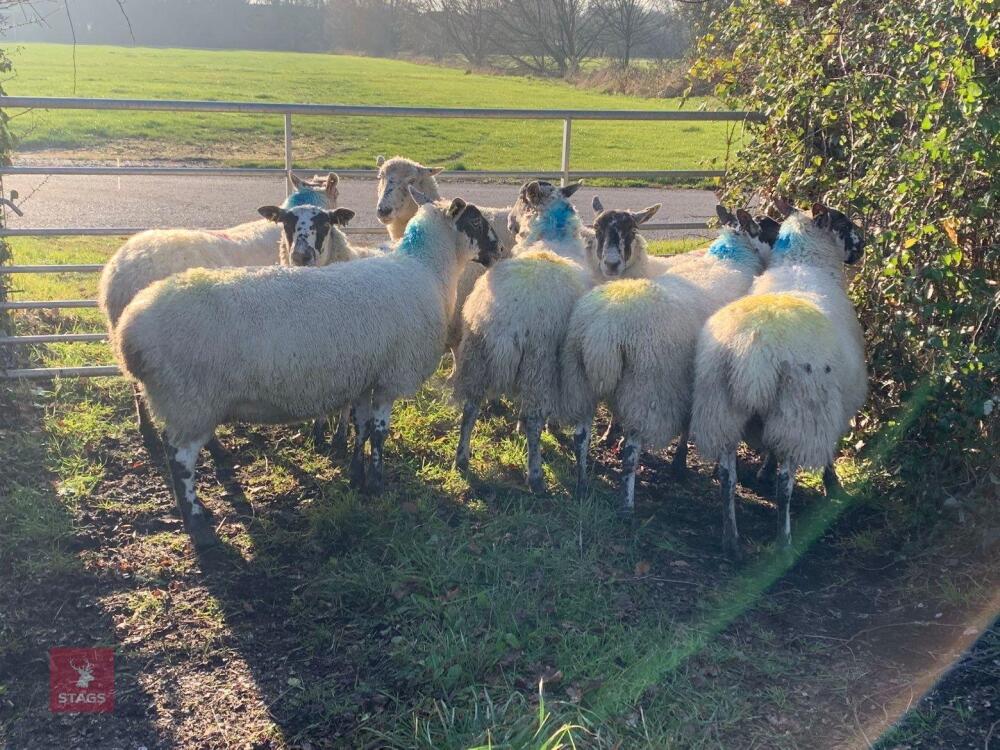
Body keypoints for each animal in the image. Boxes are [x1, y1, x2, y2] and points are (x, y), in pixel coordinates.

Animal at [114, 188, 502, 547]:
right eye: (476, 222)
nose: (498, 250)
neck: (426, 268)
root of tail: (128, 332)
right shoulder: (389, 378)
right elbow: (379, 434)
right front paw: (377, 483)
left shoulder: (365, 375)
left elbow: (360, 428)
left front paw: (356, 475)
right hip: (187, 400)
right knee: (180, 461)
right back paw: (198, 524)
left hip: (187, 402)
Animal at [453, 179, 589, 493]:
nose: (510, 224)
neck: (552, 236)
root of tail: (507, 321)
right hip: (538, 363)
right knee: (534, 420)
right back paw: (535, 475)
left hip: (475, 358)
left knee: (469, 408)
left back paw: (462, 458)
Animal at [561, 206, 779, 510]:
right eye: (771, 228)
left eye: (631, 230)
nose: (612, 264)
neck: (731, 256)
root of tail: (603, 332)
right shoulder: (690, 377)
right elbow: (687, 425)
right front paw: (681, 464)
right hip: (645, 387)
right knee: (631, 450)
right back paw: (627, 506)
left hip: (580, 377)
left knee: (581, 436)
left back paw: (582, 485)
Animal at [690, 201, 866, 558]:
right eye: (843, 223)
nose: (864, 246)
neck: (804, 264)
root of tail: (753, 351)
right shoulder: (828, 406)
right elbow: (827, 454)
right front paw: (833, 485)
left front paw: (763, 468)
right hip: (798, 410)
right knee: (785, 486)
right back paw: (784, 543)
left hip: (721, 409)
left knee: (727, 477)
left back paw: (731, 540)